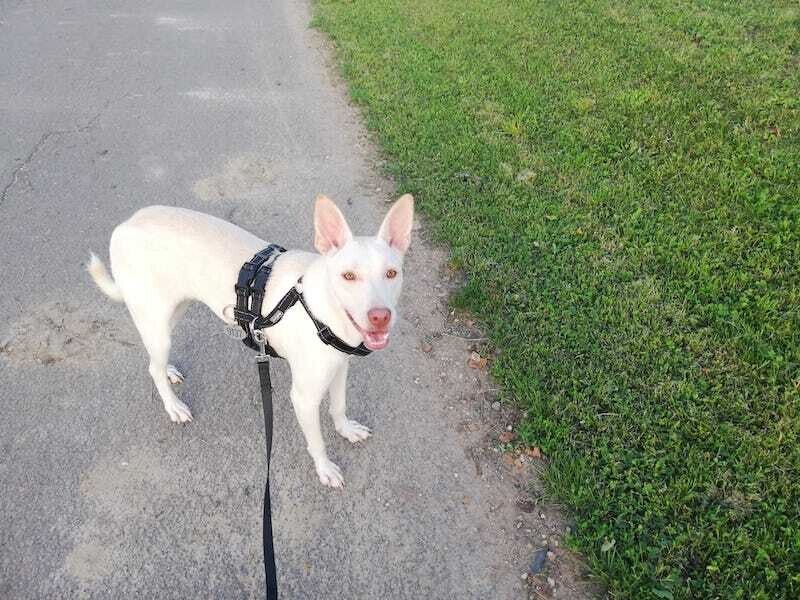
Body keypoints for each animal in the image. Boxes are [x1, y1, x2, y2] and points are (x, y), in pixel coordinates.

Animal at [88, 194, 414, 487]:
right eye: (348, 276)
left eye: (391, 273)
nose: (380, 317)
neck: (319, 306)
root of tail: (126, 225)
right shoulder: (304, 397)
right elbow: (318, 441)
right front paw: (325, 469)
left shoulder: (340, 367)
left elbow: (339, 406)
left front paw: (346, 429)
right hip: (156, 321)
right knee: (152, 368)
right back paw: (173, 406)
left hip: (171, 313)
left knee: (156, 360)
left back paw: (168, 371)